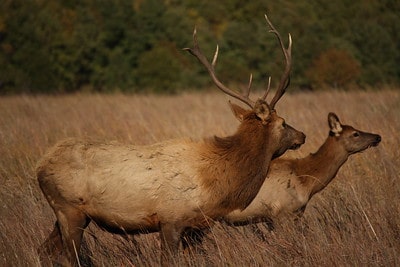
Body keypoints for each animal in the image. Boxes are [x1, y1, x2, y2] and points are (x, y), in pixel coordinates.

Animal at [37, 14, 306, 266]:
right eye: (283, 122)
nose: (302, 135)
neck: (216, 182)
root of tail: (39, 167)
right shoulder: (171, 219)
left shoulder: (196, 226)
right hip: (68, 207)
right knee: (69, 257)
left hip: (67, 214)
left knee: (44, 250)